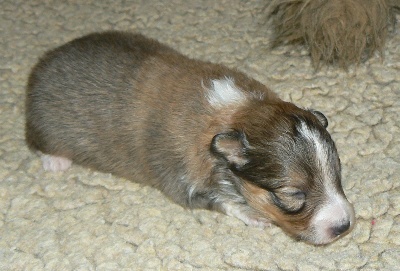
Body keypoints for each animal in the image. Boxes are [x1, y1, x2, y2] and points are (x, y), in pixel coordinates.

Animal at [25, 30, 354, 245]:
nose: (344, 226)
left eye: (337, 174)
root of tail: (44, 61)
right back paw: (55, 161)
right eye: (293, 194)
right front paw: (252, 214)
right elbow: (220, 200)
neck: (239, 113)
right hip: (44, 128)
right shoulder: (181, 179)